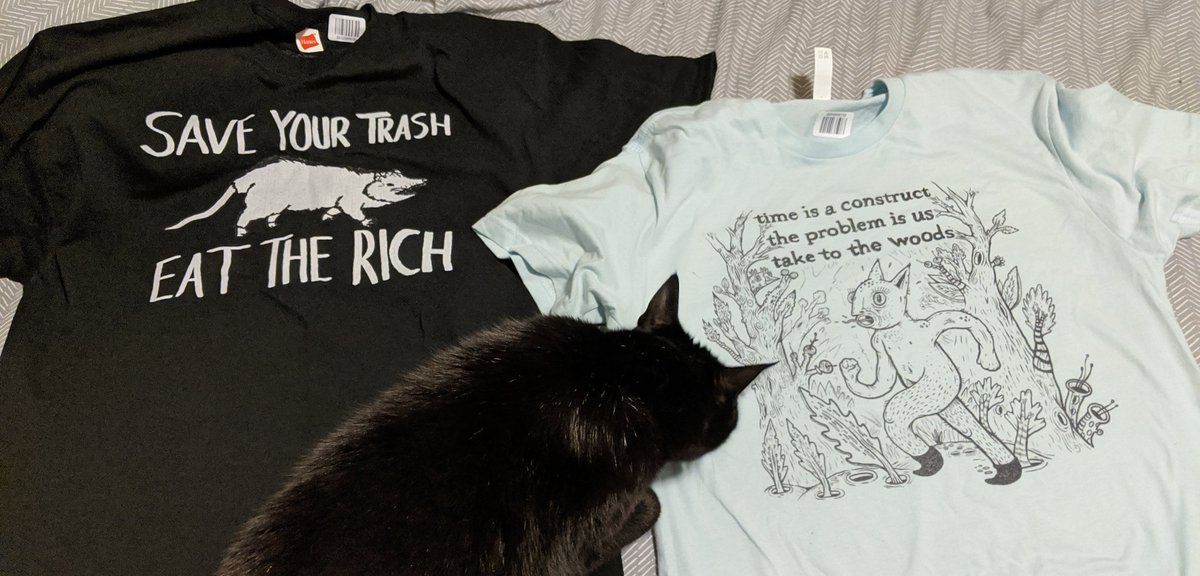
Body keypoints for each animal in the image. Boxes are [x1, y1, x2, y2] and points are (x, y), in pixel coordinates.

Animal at [838, 261, 1022, 485]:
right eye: (853, 297)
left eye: (878, 298)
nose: (862, 317)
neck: (893, 330)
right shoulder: (879, 346)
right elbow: (883, 382)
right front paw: (848, 370)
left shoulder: (928, 327)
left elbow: (966, 319)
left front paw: (989, 359)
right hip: (947, 403)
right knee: (971, 428)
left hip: (938, 388)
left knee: (896, 416)